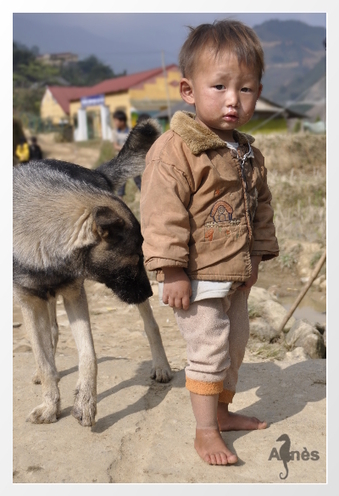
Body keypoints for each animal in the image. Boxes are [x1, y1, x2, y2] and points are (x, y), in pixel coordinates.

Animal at [13, 119, 173, 426]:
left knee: (151, 325)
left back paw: (161, 365)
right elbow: (43, 357)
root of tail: (94, 172)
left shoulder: (75, 294)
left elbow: (89, 355)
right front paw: (51, 405)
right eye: (135, 258)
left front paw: (85, 402)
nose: (149, 291)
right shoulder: (28, 300)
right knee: (50, 333)